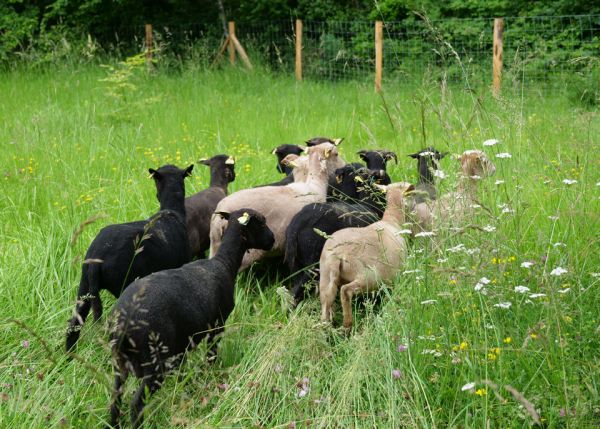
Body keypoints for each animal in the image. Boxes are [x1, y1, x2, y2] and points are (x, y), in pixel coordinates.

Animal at [65, 164, 192, 352]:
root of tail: (97, 257)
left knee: (74, 325)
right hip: (124, 284)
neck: (171, 211)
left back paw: (69, 355)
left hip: (84, 284)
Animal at [108, 210, 274, 428]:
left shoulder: (183, 345)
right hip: (155, 361)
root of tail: (123, 323)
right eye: (261, 222)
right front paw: (211, 373)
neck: (224, 263)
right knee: (136, 403)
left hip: (120, 362)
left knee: (115, 398)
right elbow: (211, 355)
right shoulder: (217, 325)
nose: (273, 240)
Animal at [210, 142, 342, 270]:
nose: (343, 166)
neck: (314, 185)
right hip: (246, 252)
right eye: (336, 154)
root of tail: (220, 214)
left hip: (215, 245)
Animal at [322, 182, 414, 330]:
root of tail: (338, 253)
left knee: (326, 301)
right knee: (345, 291)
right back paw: (348, 325)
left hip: (325, 276)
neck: (392, 220)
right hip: (369, 277)